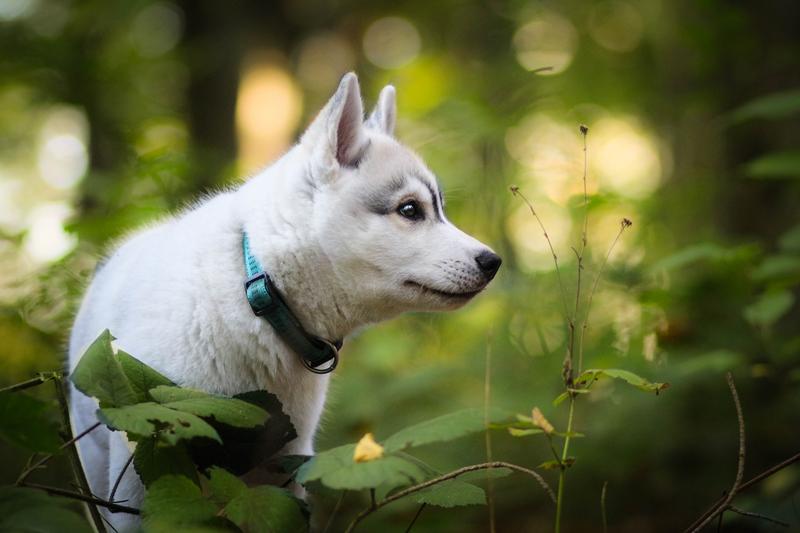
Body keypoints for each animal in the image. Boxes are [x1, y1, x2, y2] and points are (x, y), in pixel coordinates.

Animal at [72, 71, 504, 528]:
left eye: (438, 209)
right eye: (409, 209)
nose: (493, 261)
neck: (258, 291)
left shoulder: (286, 461)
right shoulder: (143, 458)